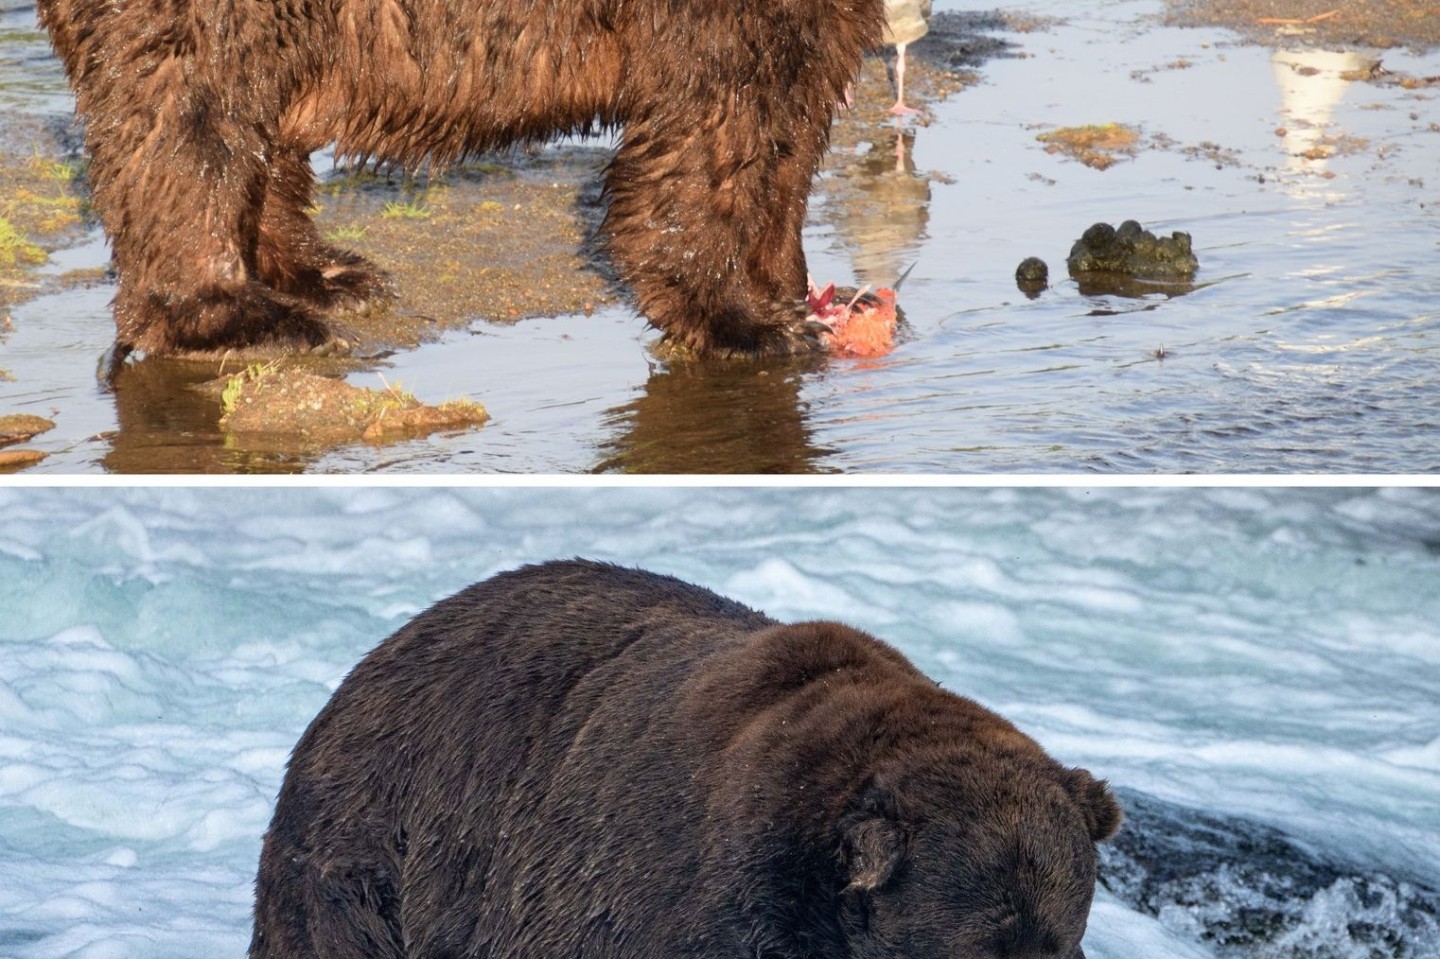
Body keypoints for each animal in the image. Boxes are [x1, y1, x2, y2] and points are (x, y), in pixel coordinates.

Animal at [36, 0, 875, 364]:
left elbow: (798, 114)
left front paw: (795, 287)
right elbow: (718, 105)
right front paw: (747, 320)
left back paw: (329, 273)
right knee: (192, 114)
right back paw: (242, 315)